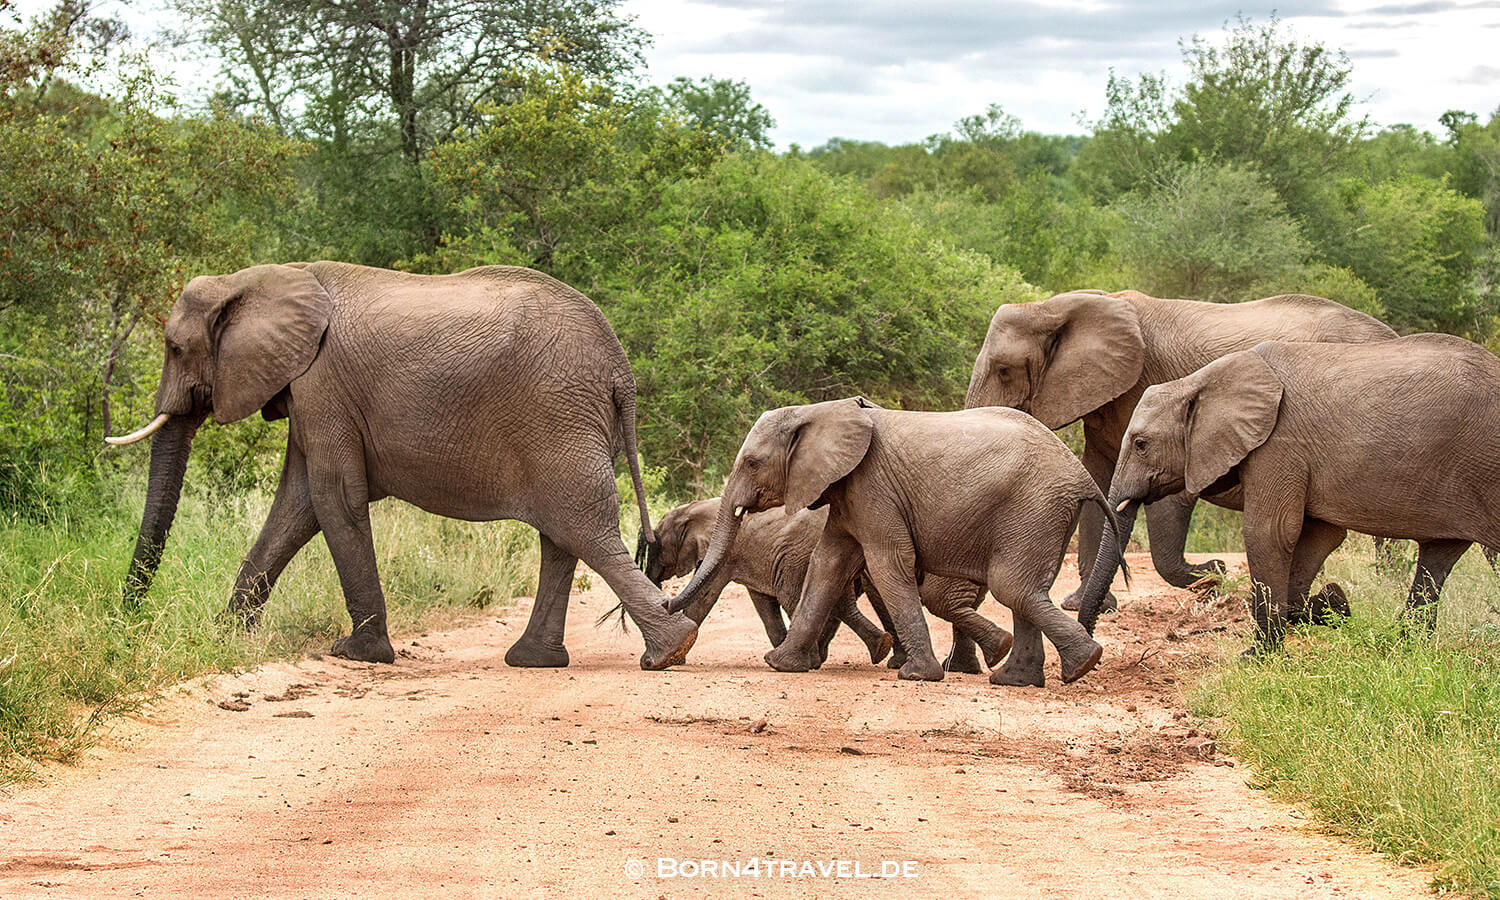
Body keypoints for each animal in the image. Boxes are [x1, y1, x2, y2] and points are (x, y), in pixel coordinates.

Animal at [106, 262, 698, 670]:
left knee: (582, 529)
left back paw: (669, 651)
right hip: (567, 423)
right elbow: (297, 505)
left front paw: (355, 652)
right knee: (564, 537)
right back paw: (536, 660)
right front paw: (226, 636)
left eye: (174, 347)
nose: (127, 620)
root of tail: (621, 370)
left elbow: (332, 498)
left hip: (558, 418)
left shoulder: (323, 386)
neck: (259, 278)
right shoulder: (310, 390)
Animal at [648, 498, 1013, 670]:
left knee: (803, 596)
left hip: (798, 555)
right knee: (837, 599)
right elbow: (763, 603)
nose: (663, 598)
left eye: (657, 544)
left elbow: (707, 597)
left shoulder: (725, 553)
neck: (695, 509)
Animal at [963, 289, 1396, 612]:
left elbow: (1168, 496)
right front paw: (1081, 605)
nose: (1219, 566)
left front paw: (1213, 576)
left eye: (1004, 371)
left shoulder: (1148, 388)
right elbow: (1099, 484)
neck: (1057, 306)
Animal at [1102, 334, 1500, 651]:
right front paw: (1333, 605)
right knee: (1438, 556)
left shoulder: (1280, 444)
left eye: (1140, 444)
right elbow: (1319, 535)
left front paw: (1257, 656)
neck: (1202, 380)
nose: (1216, 570)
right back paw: (1403, 646)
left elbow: (1271, 532)